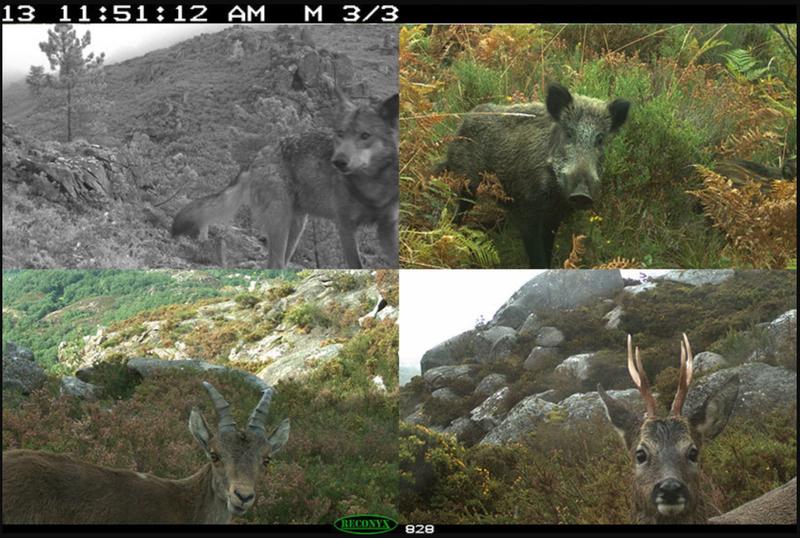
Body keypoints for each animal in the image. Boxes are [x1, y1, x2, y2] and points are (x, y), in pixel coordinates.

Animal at [252, 87, 398, 268]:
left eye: (365, 135)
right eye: (341, 134)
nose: (338, 162)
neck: (371, 186)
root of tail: (262, 151)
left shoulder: (387, 226)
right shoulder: (345, 225)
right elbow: (356, 265)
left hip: (297, 226)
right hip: (282, 222)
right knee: (275, 264)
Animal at [438, 82, 632, 266]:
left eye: (600, 139)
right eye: (569, 133)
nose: (582, 194)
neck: (554, 195)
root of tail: (461, 126)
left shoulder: (553, 218)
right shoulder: (528, 209)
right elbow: (537, 256)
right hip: (467, 182)